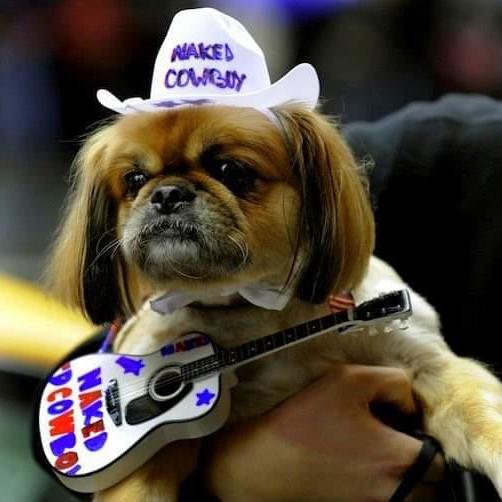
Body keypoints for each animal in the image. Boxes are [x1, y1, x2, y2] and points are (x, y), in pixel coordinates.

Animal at [46, 101, 502, 501]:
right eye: (135, 180)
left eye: (230, 170)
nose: (167, 193)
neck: (259, 313)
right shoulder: (154, 445)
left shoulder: (430, 367)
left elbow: (485, 419)